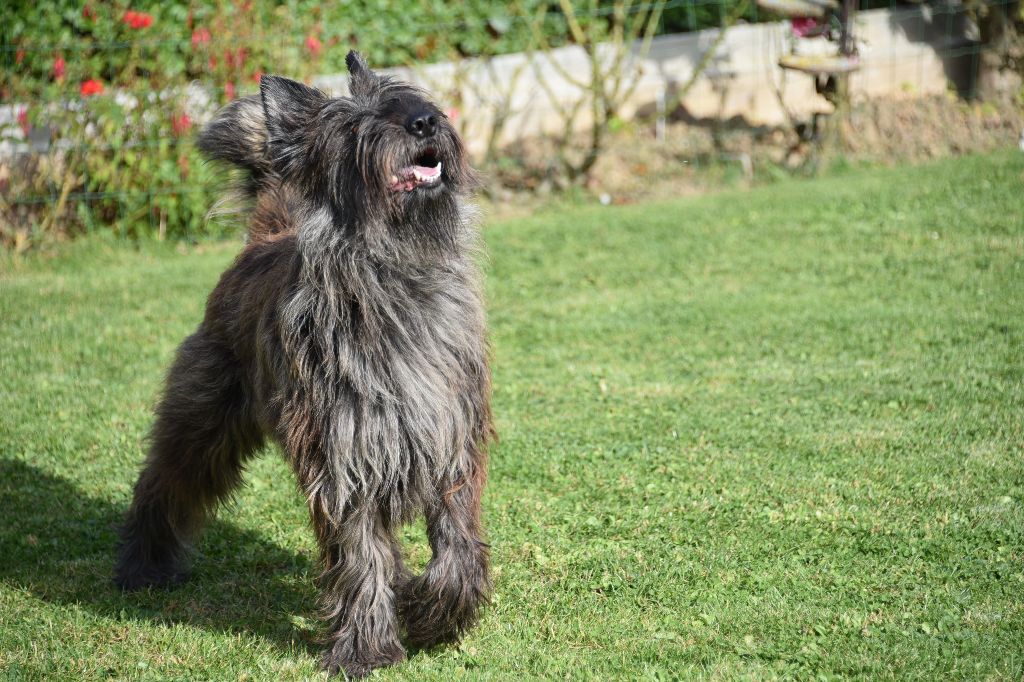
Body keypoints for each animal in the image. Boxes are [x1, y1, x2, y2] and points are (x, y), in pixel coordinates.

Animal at [114, 53, 493, 675]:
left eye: (412, 97)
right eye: (355, 125)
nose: (423, 122)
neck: (397, 279)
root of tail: (261, 241)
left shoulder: (451, 444)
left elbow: (456, 548)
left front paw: (430, 613)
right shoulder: (344, 461)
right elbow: (361, 557)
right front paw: (365, 648)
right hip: (203, 422)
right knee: (164, 483)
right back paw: (143, 566)